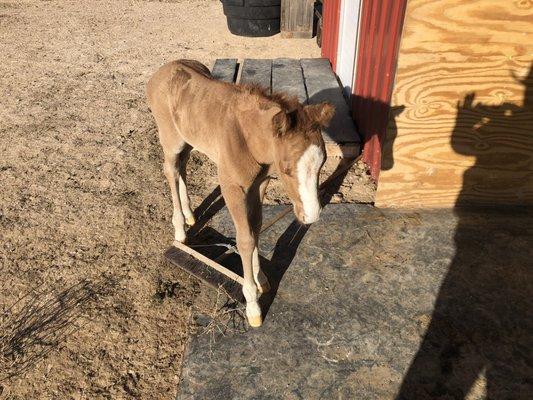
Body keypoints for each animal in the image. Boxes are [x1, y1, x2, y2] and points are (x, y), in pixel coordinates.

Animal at [145, 60, 332, 328]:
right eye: (286, 169)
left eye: (323, 163)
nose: (312, 215)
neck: (248, 138)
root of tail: (162, 71)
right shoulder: (231, 187)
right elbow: (244, 240)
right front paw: (252, 303)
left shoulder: (259, 184)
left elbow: (255, 229)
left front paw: (260, 277)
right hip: (170, 140)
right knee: (170, 170)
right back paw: (180, 230)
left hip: (188, 139)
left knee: (182, 166)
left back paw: (190, 214)